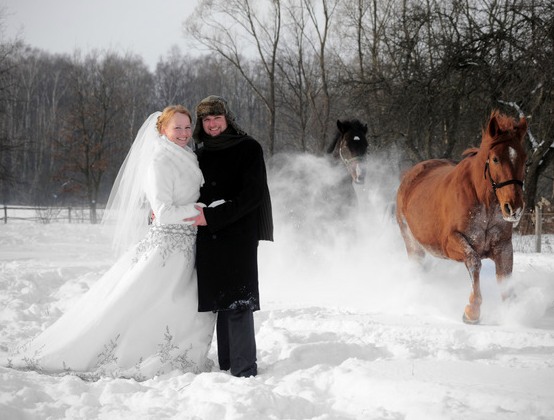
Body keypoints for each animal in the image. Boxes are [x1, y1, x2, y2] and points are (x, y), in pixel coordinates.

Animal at [392, 110, 528, 324]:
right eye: (495, 159)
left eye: (523, 157)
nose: (513, 208)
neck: (484, 204)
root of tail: (410, 175)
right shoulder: (451, 242)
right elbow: (474, 262)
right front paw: (472, 311)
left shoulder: (503, 246)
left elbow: (505, 279)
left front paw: (513, 314)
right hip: (412, 243)